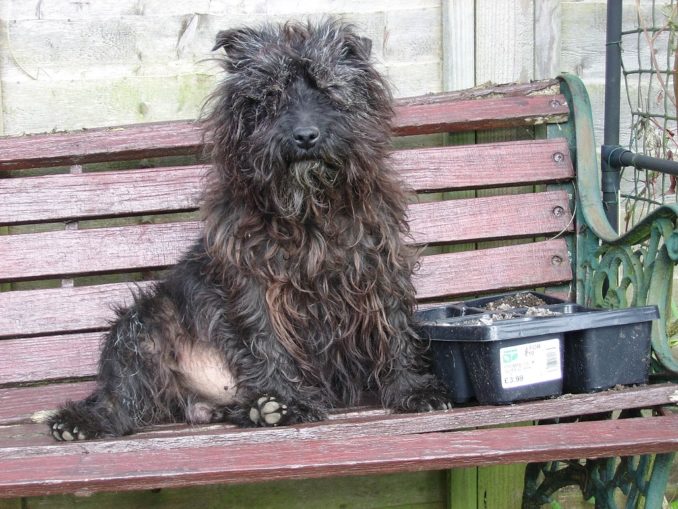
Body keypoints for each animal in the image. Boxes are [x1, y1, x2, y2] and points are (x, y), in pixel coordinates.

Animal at [47, 19, 452, 440]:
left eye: (327, 89)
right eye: (271, 94)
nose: (305, 135)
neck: (308, 209)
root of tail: (197, 402)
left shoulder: (376, 265)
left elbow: (394, 329)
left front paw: (412, 389)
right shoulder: (253, 281)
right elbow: (264, 339)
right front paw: (287, 402)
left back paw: (255, 409)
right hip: (142, 324)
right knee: (124, 397)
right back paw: (84, 421)